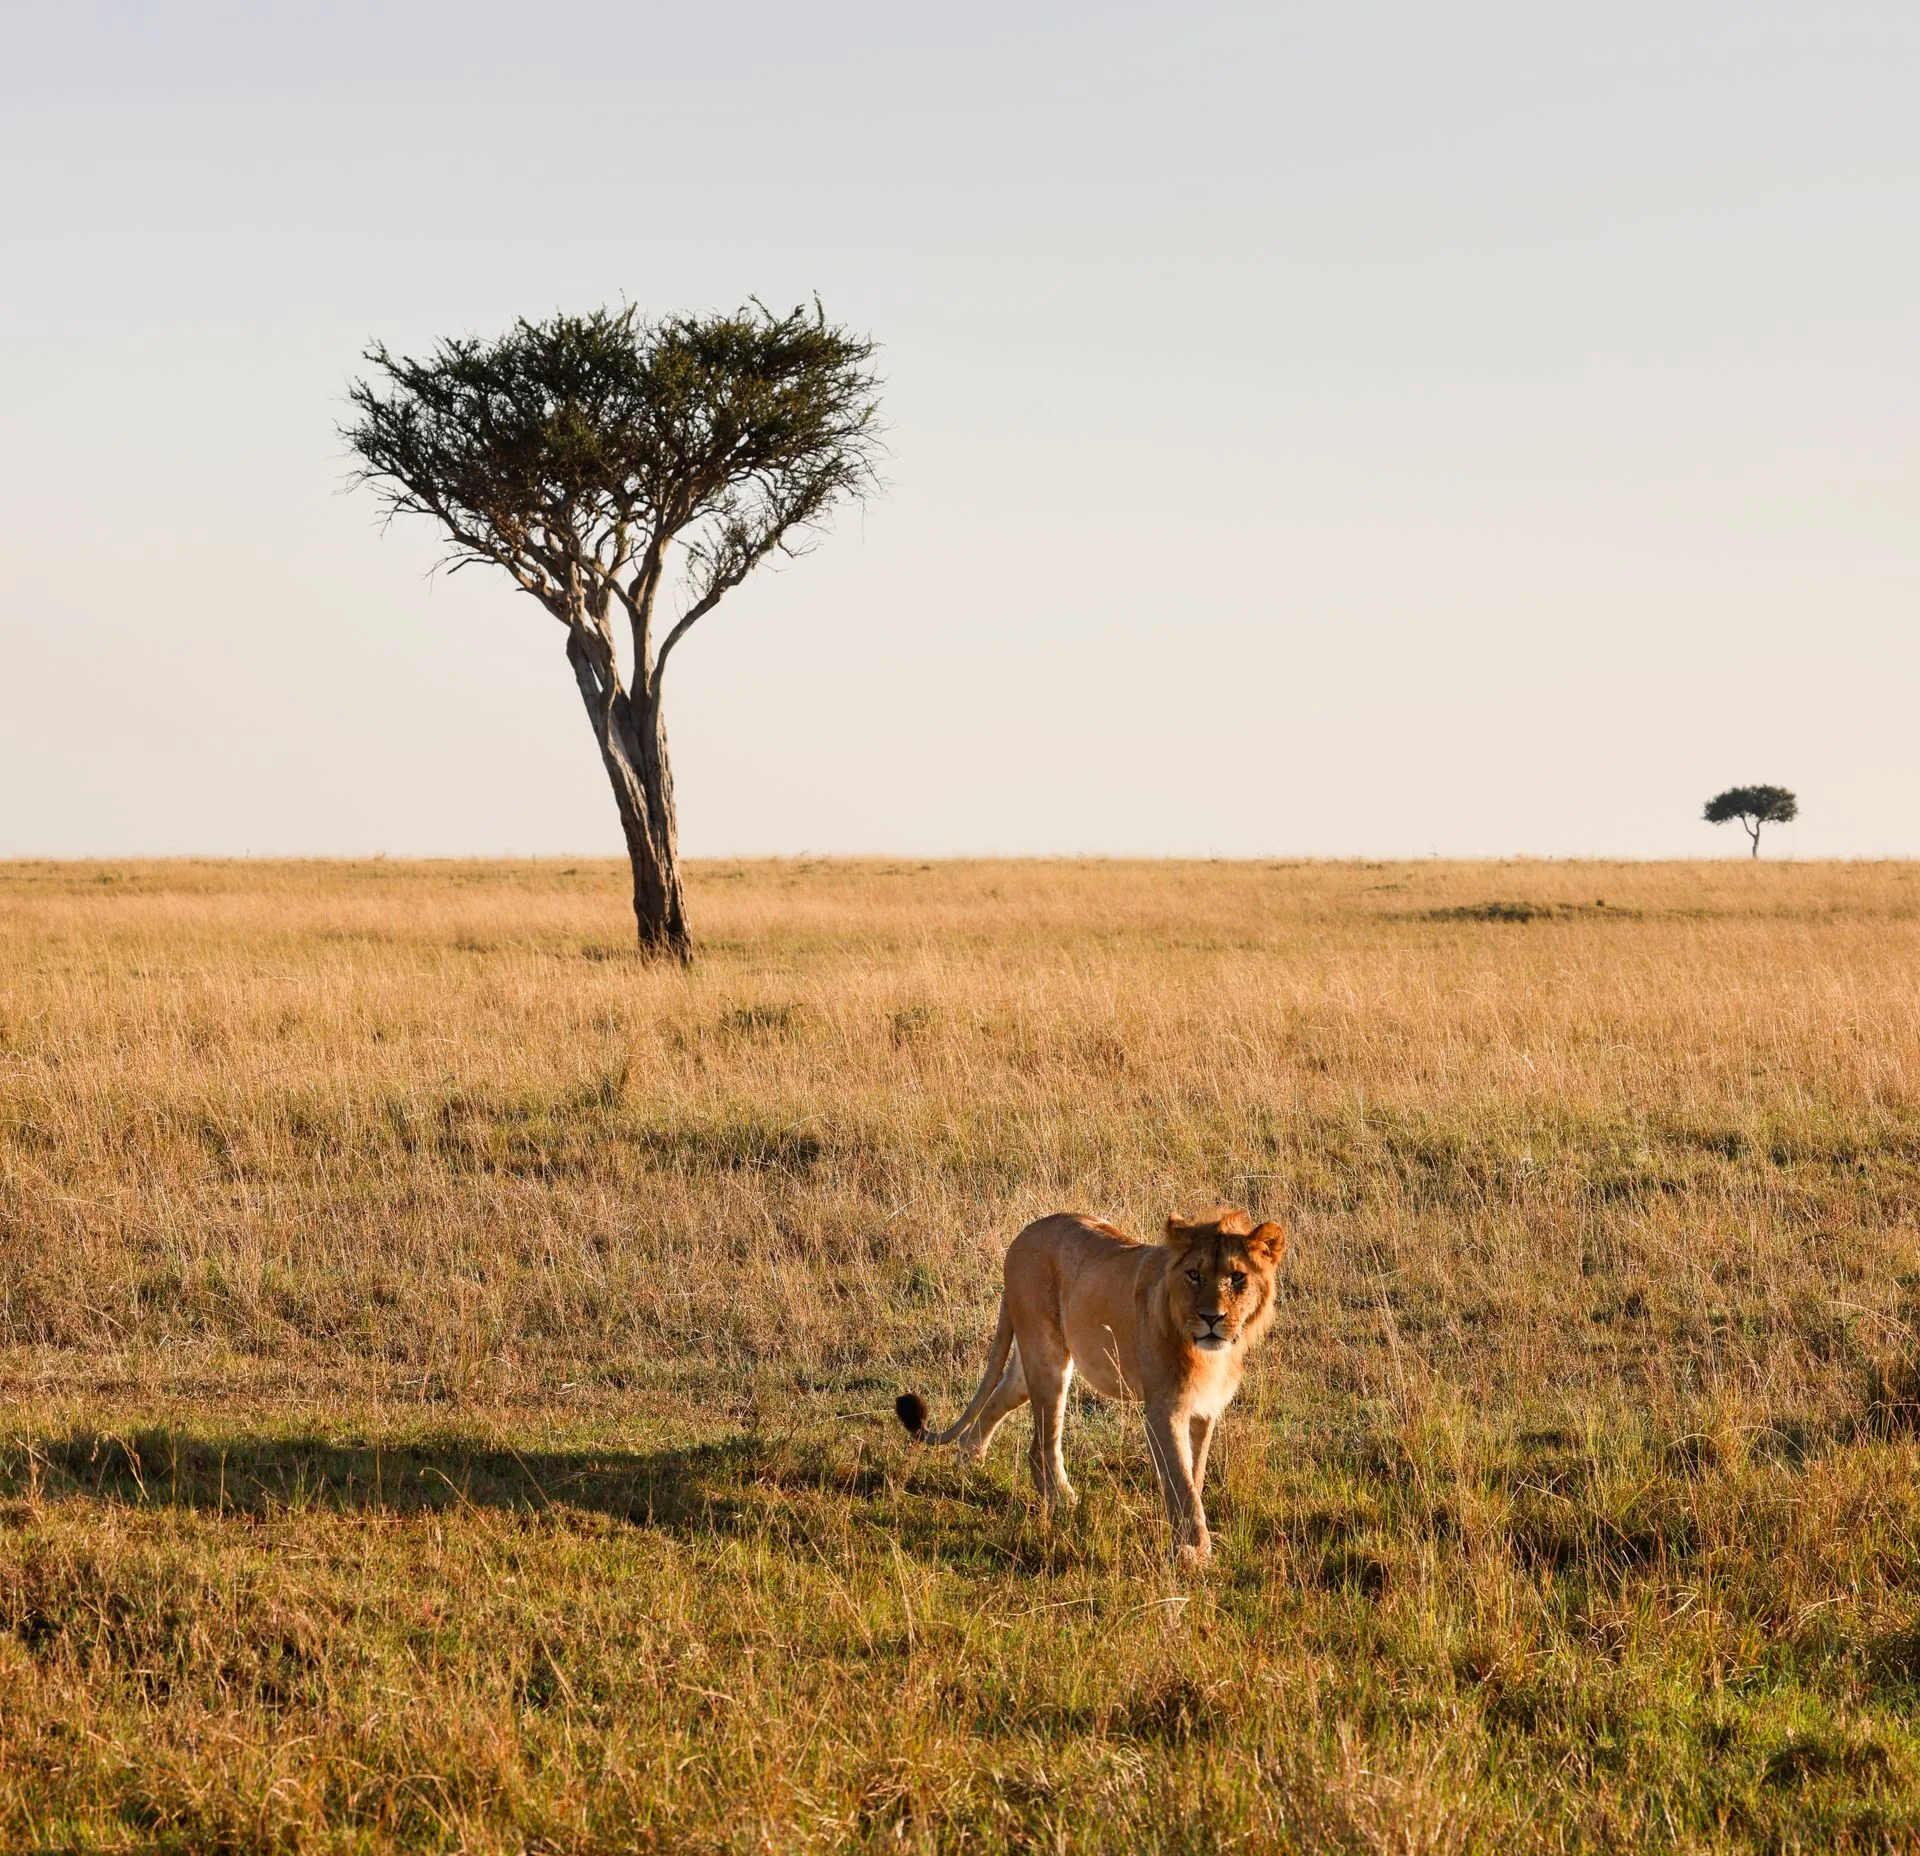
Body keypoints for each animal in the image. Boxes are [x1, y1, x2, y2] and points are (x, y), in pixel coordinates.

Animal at [896, 1208, 1286, 1562]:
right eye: (1194, 1275)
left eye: (1237, 1278)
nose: (1211, 1318)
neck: (1209, 1354)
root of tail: (1024, 1235)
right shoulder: (1163, 1410)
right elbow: (1181, 1482)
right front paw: (1193, 1550)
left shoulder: (1204, 1411)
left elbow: (1197, 1474)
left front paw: (1193, 1540)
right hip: (1049, 1360)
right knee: (1043, 1445)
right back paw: (1063, 1500)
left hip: (1027, 1368)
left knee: (997, 1411)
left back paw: (969, 1467)